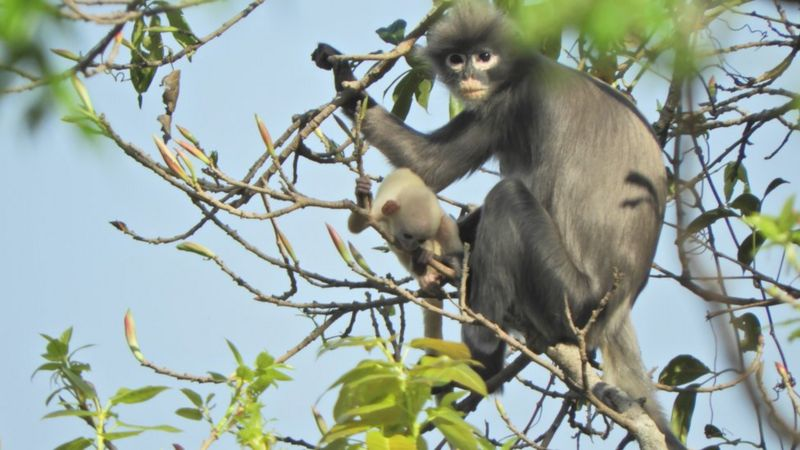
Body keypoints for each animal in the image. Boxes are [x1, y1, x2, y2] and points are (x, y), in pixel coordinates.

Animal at [348, 167, 462, 340]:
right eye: (408, 236)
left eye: (420, 239)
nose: (413, 245)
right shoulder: (382, 210)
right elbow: (357, 225)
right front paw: (362, 194)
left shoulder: (436, 216)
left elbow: (446, 225)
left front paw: (454, 262)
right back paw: (421, 270)